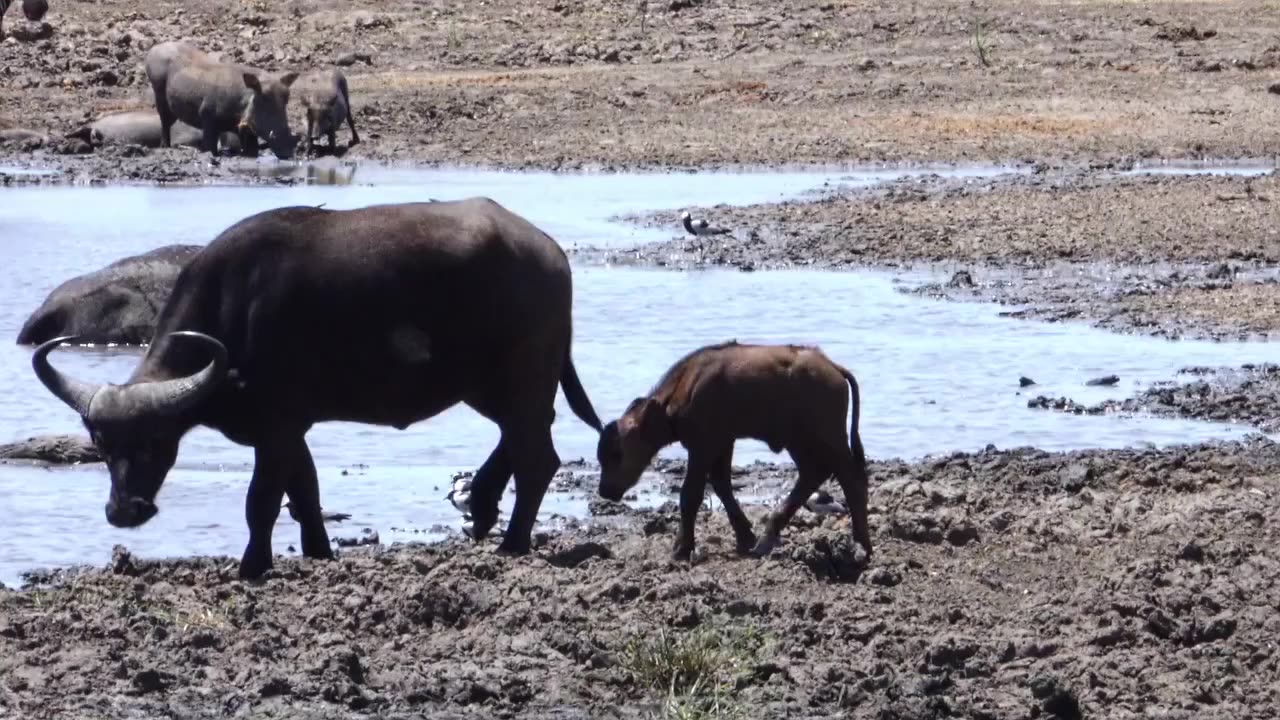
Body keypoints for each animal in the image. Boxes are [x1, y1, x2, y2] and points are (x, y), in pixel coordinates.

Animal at [33, 196, 604, 576]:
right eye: (101, 444)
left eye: (156, 441)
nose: (123, 511)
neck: (234, 312)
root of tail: (550, 254)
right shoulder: (292, 431)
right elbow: (305, 491)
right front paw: (318, 550)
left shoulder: (277, 428)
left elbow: (262, 500)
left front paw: (252, 565)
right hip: (493, 388)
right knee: (523, 438)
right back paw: (484, 507)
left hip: (519, 381)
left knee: (538, 458)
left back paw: (512, 541)